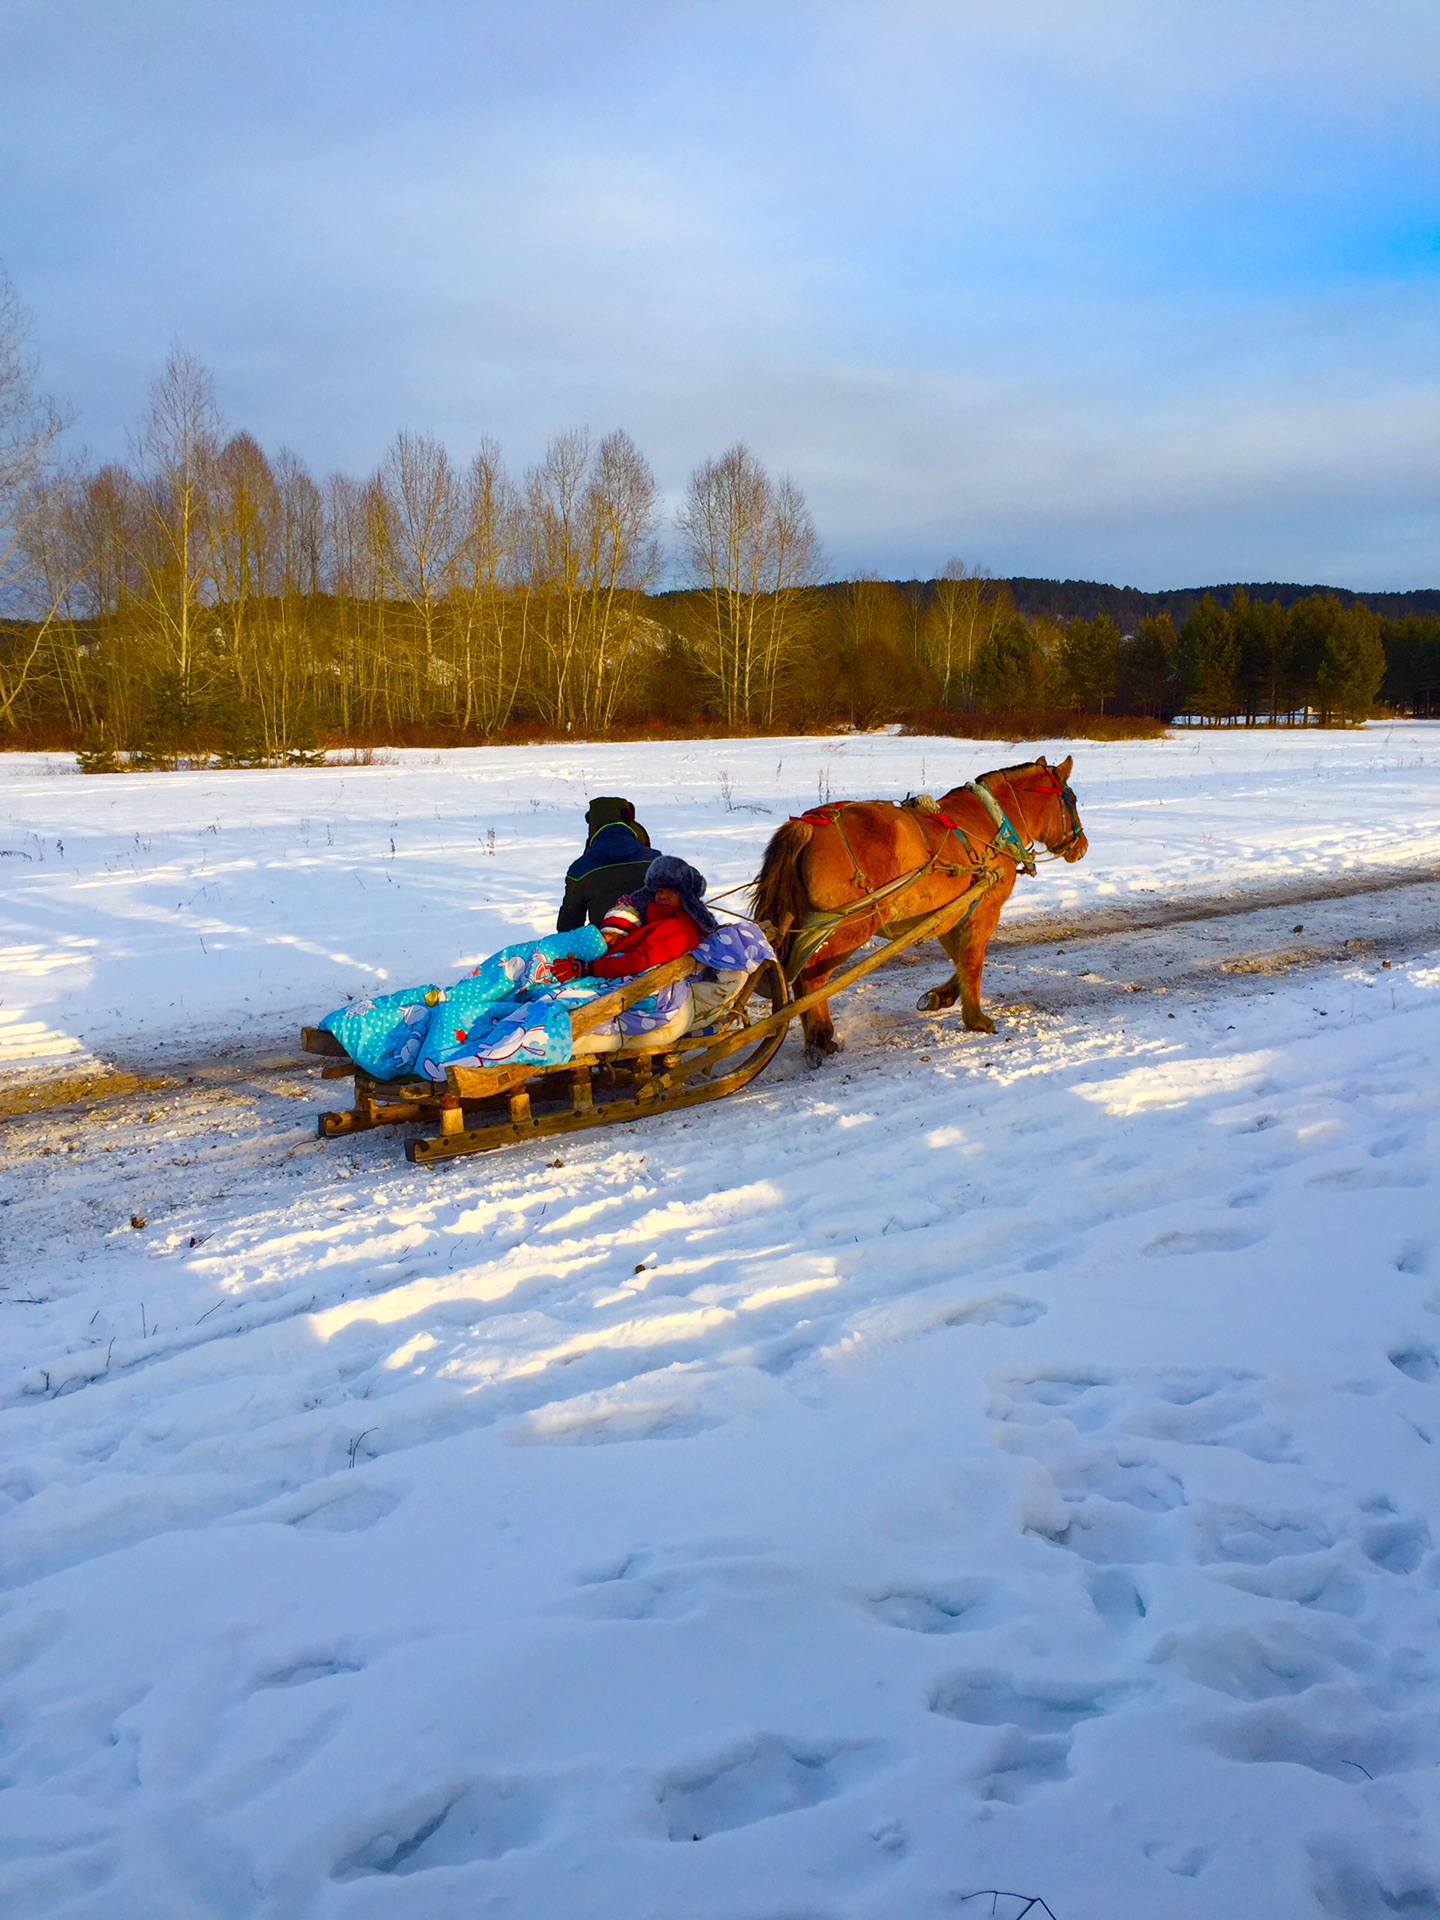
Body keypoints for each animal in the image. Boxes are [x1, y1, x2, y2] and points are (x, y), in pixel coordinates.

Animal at [748, 756, 1090, 1067]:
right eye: (1071, 799)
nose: (1082, 846)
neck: (992, 823)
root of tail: (807, 824)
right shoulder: (983, 913)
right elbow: (973, 961)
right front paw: (976, 1018)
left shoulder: (951, 915)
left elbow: (961, 961)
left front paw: (941, 996)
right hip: (848, 926)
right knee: (810, 980)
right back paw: (820, 1037)